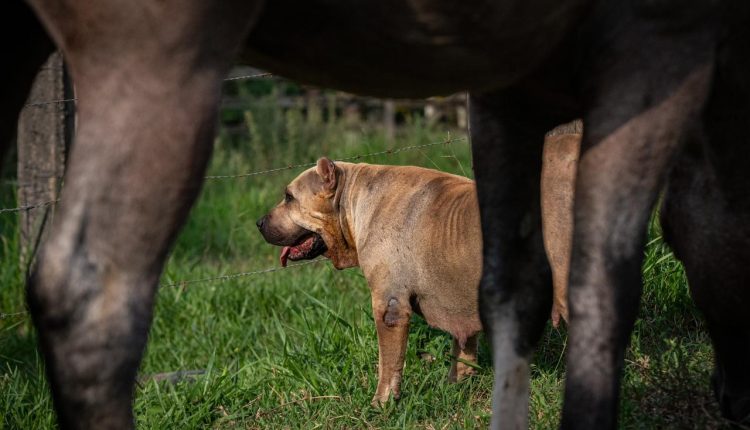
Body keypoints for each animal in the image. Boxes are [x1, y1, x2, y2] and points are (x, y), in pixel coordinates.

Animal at [256, 137, 580, 404]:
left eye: (289, 197)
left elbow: (389, 363)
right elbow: (463, 348)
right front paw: (457, 385)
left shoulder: (389, 306)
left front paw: (382, 403)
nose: (259, 222)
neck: (352, 199)